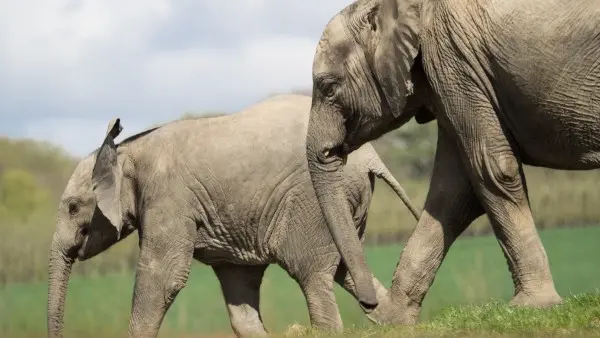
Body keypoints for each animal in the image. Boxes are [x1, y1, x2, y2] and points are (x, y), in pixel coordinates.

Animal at [47, 93, 418, 338]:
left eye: (73, 207)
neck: (127, 150)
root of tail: (370, 156)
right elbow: (239, 289)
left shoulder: (168, 198)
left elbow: (162, 277)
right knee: (349, 272)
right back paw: (395, 321)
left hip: (314, 202)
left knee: (314, 276)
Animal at [308, 0, 596, 326]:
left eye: (329, 88)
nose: (369, 305)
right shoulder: (451, 76)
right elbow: (453, 191)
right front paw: (393, 322)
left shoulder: (453, 59)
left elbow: (492, 168)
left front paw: (532, 306)